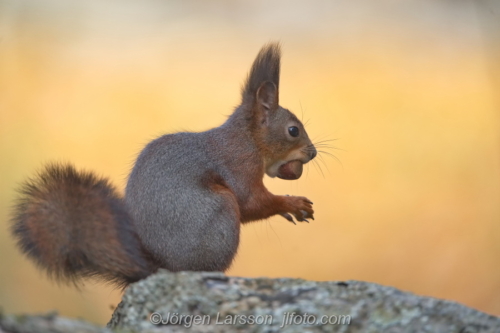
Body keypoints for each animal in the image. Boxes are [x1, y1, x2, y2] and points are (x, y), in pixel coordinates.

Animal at [9, 42, 316, 288]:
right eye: (293, 131)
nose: (313, 153)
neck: (248, 139)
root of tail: (161, 269)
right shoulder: (239, 165)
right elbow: (251, 201)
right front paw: (291, 203)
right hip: (219, 213)